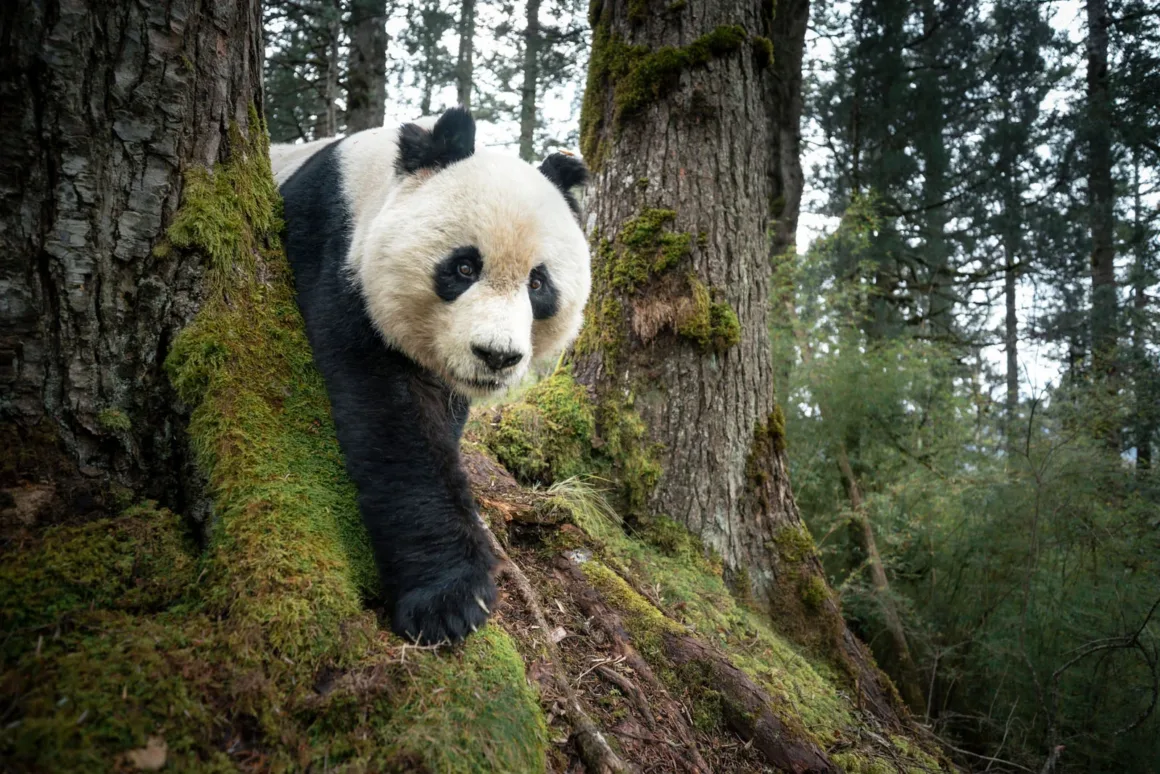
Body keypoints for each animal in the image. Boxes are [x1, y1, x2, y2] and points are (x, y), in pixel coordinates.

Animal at [274, 108, 590, 645]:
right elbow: (396, 422)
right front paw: (450, 601)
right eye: (463, 267)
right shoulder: (335, 253)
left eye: (538, 283)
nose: (496, 356)